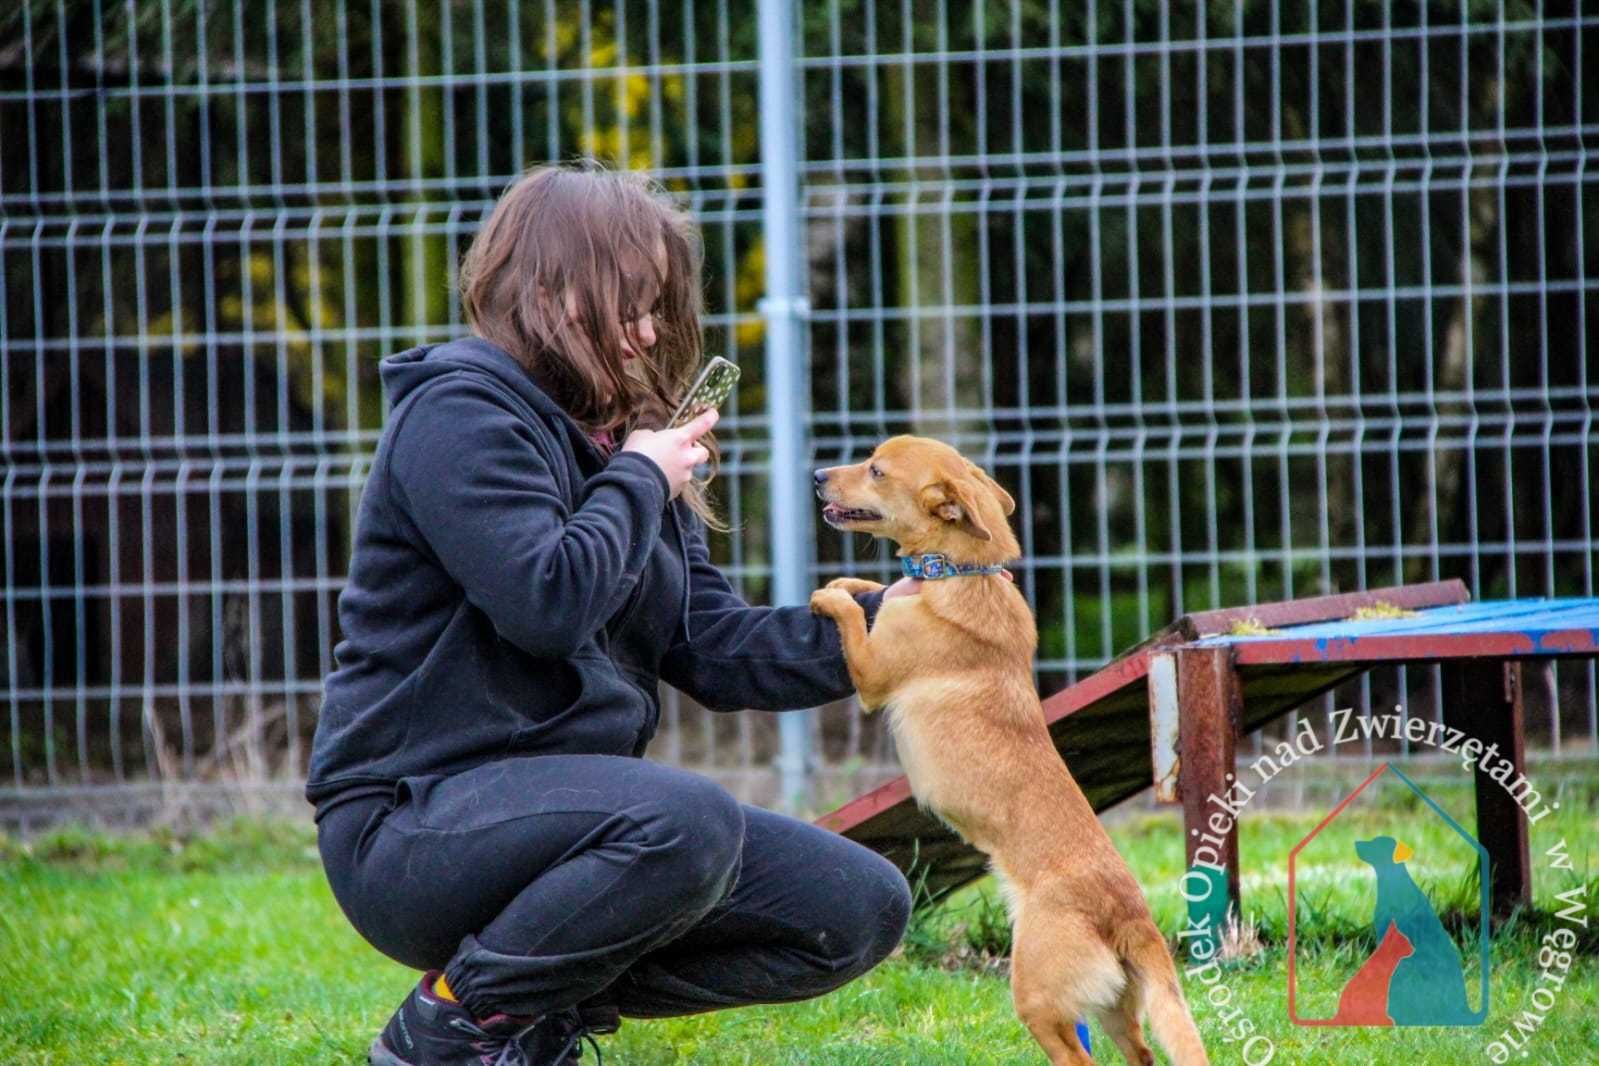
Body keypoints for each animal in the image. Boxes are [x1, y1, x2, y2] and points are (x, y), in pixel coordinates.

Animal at [818, 434, 1202, 1066]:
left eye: (875, 470)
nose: (819, 475)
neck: (960, 570)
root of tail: (1132, 916)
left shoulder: (872, 676)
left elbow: (853, 619)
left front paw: (828, 597)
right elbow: (868, 593)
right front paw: (852, 584)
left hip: (1037, 997)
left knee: (1077, 1057)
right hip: (1117, 1009)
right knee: (1142, 1054)